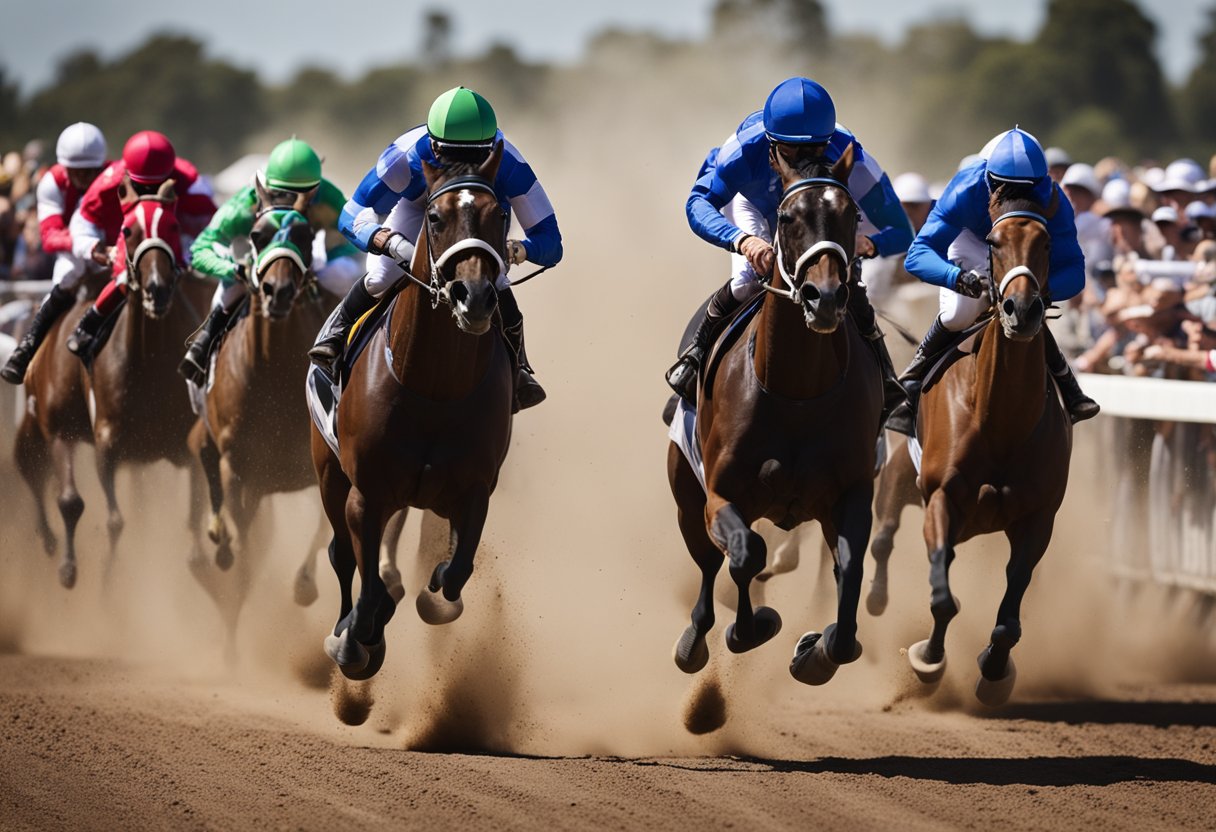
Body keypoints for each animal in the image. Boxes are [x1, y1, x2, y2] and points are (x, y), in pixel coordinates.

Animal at [311, 142, 515, 681]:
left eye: (500, 214)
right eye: (435, 217)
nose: (475, 296)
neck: (434, 388)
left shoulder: (474, 491)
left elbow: (456, 572)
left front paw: (435, 592)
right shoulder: (366, 492)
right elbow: (367, 585)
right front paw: (355, 639)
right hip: (328, 473)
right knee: (342, 555)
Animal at [666, 142, 885, 686]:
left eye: (852, 215)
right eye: (787, 217)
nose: (824, 297)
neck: (798, 393)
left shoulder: (850, 494)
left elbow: (849, 572)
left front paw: (818, 651)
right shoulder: (720, 494)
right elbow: (746, 555)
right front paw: (752, 627)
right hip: (685, 494)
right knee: (708, 563)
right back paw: (694, 640)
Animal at [899, 184, 1070, 705]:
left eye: (1047, 243)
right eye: (994, 243)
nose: (1022, 309)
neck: (1000, 419)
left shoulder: (1038, 518)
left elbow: (1009, 618)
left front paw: (995, 671)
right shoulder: (940, 498)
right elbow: (942, 599)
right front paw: (928, 660)